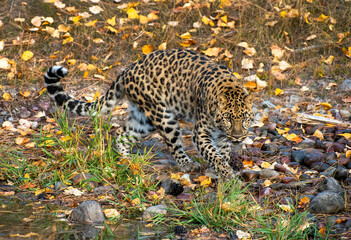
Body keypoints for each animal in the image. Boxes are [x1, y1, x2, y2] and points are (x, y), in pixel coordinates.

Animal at [44, 49, 254, 178]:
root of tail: (127, 70)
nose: (238, 137)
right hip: (163, 117)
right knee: (173, 146)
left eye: (244, 119)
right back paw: (187, 164)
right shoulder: (201, 133)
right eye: (228, 119)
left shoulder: (223, 137)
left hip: (144, 121)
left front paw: (224, 168)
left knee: (121, 134)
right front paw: (226, 173)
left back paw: (128, 160)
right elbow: (213, 154)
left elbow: (222, 153)